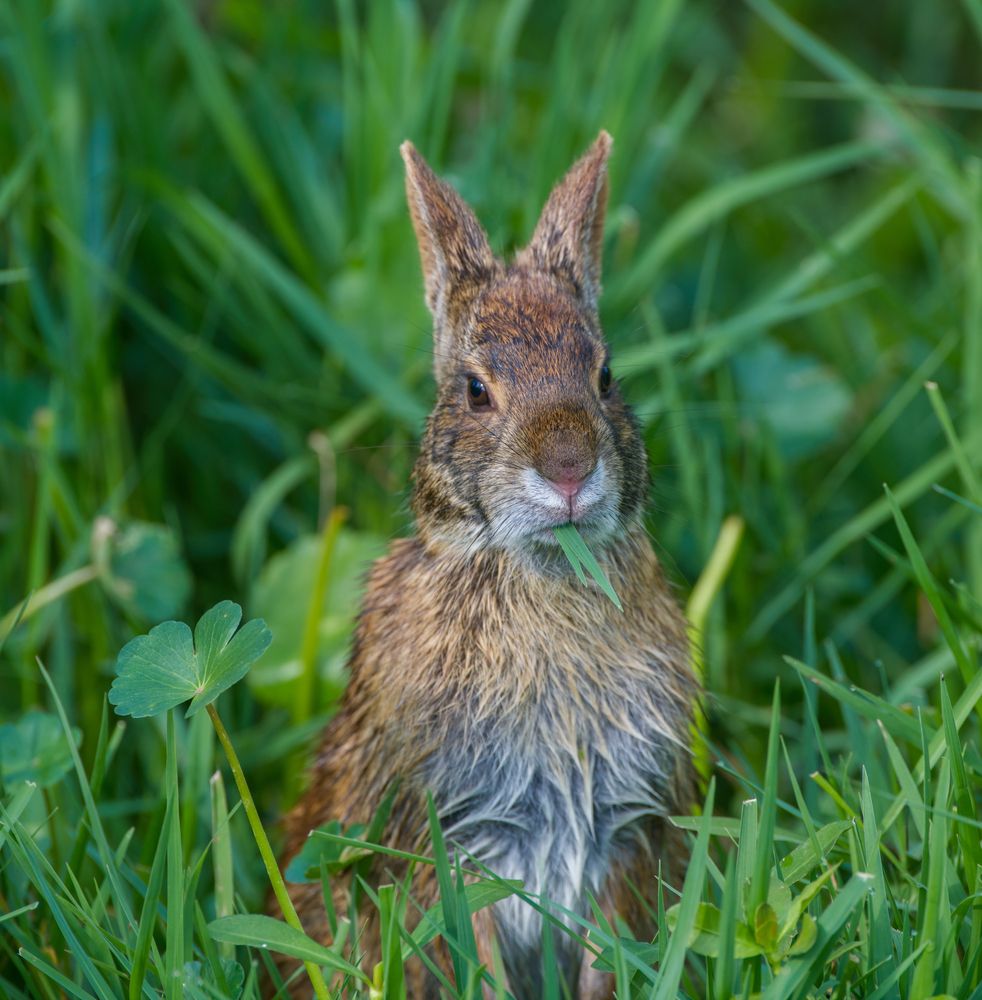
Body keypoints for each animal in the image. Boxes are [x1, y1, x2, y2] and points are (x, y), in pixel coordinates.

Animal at [275, 131, 698, 999]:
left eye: (606, 376)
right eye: (475, 391)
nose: (568, 468)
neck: (539, 574)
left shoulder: (617, 840)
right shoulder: (461, 846)